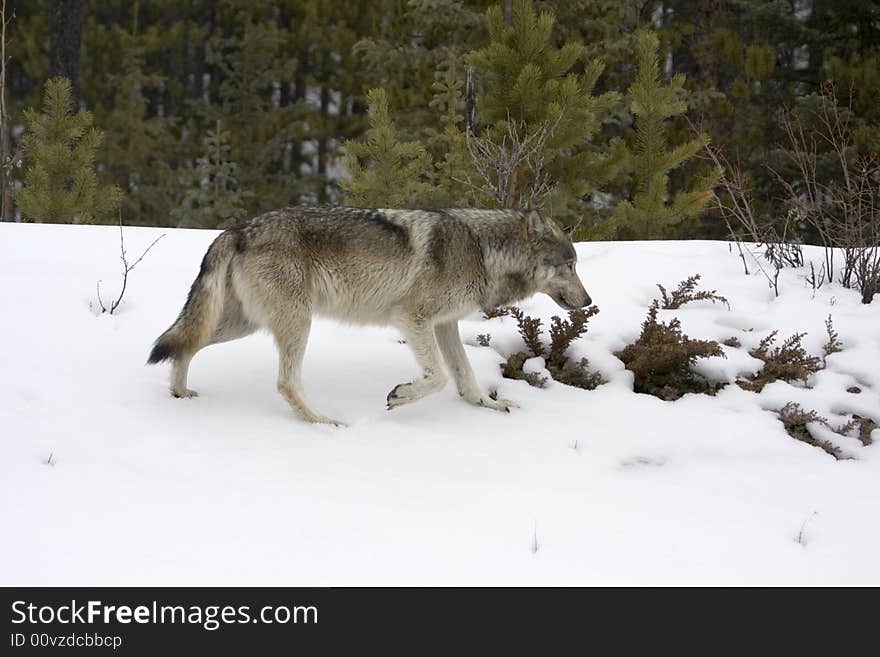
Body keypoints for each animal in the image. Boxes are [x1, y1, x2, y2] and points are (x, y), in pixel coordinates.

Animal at [150, 206, 592, 426]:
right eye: (569, 266)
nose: (588, 300)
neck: (482, 249)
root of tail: (237, 230)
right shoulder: (413, 318)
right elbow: (437, 377)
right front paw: (400, 396)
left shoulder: (444, 324)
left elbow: (464, 377)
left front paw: (487, 405)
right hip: (296, 322)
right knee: (285, 382)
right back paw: (322, 421)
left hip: (241, 324)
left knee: (183, 345)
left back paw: (179, 394)